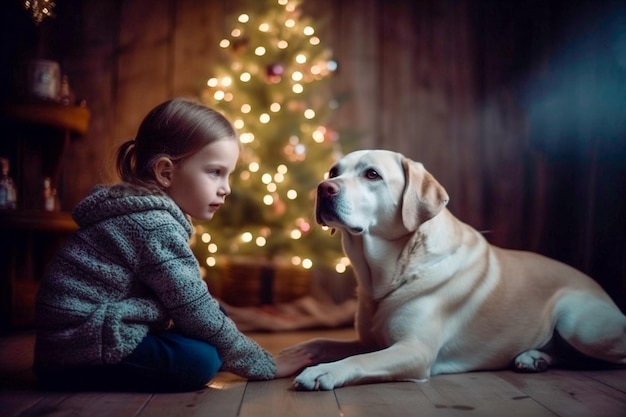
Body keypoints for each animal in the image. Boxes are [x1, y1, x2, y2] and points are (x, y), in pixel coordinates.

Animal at [284, 149, 624, 390]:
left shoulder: (415, 350)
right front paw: (287, 357)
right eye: (333, 172)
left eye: (372, 174)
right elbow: (317, 342)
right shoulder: (371, 340)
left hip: (577, 322)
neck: (391, 272)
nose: (323, 188)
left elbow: (359, 360)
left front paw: (324, 371)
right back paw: (533, 356)